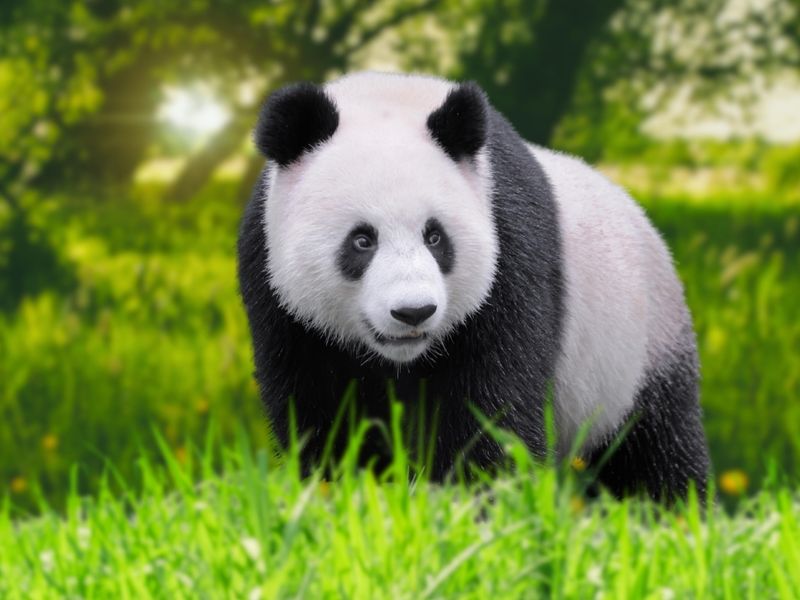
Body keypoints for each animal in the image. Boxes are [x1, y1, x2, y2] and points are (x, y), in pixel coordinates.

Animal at [238, 71, 710, 502]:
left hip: (638, 347)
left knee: (653, 447)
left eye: (435, 237)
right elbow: (322, 411)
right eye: (362, 240)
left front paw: (474, 504)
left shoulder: (510, 253)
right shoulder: (277, 291)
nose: (413, 312)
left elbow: (492, 407)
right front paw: (344, 492)